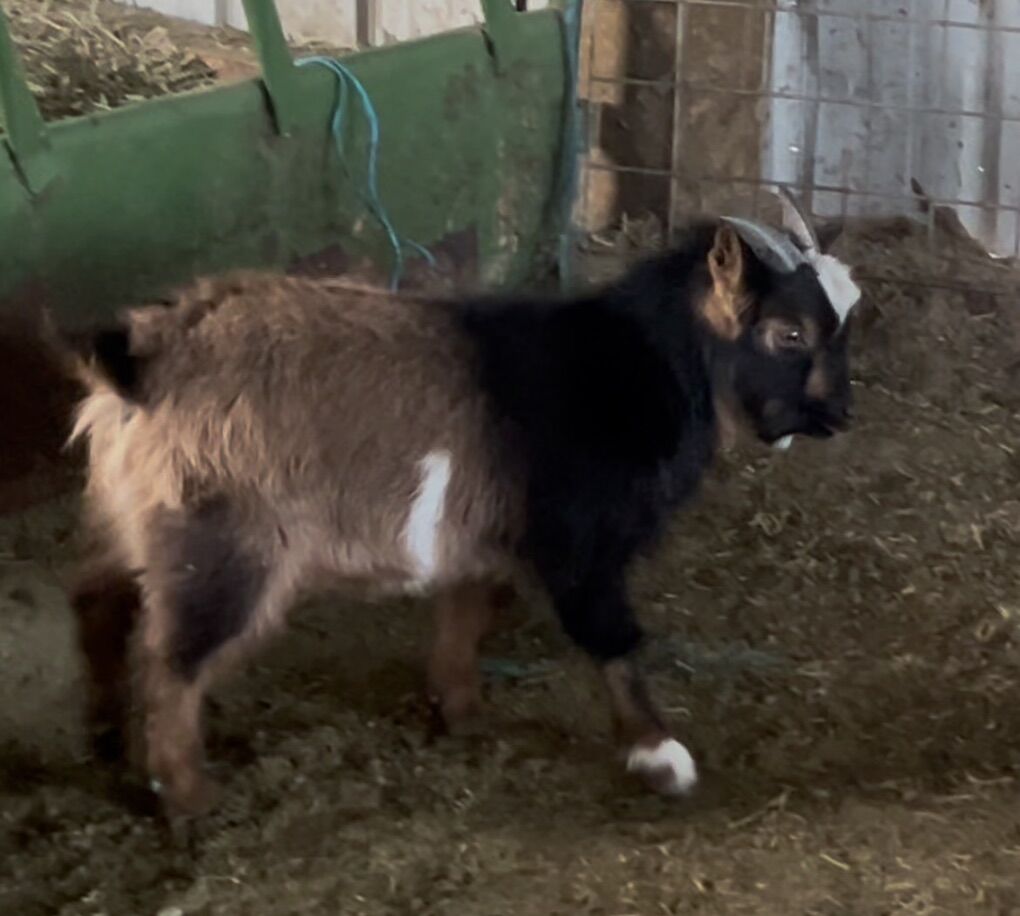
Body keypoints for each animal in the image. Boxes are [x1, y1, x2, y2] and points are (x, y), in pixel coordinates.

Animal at [68, 196, 861, 818]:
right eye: (789, 332)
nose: (837, 415)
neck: (629, 370)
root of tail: (143, 361)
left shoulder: (480, 536)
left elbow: (466, 610)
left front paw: (462, 709)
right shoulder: (578, 544)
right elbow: (612, 636)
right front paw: (660, 757)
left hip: (130, 520)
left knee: (99, 603)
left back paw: (107, 742)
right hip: (222, 545)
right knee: (172, 658)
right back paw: (188, 796)